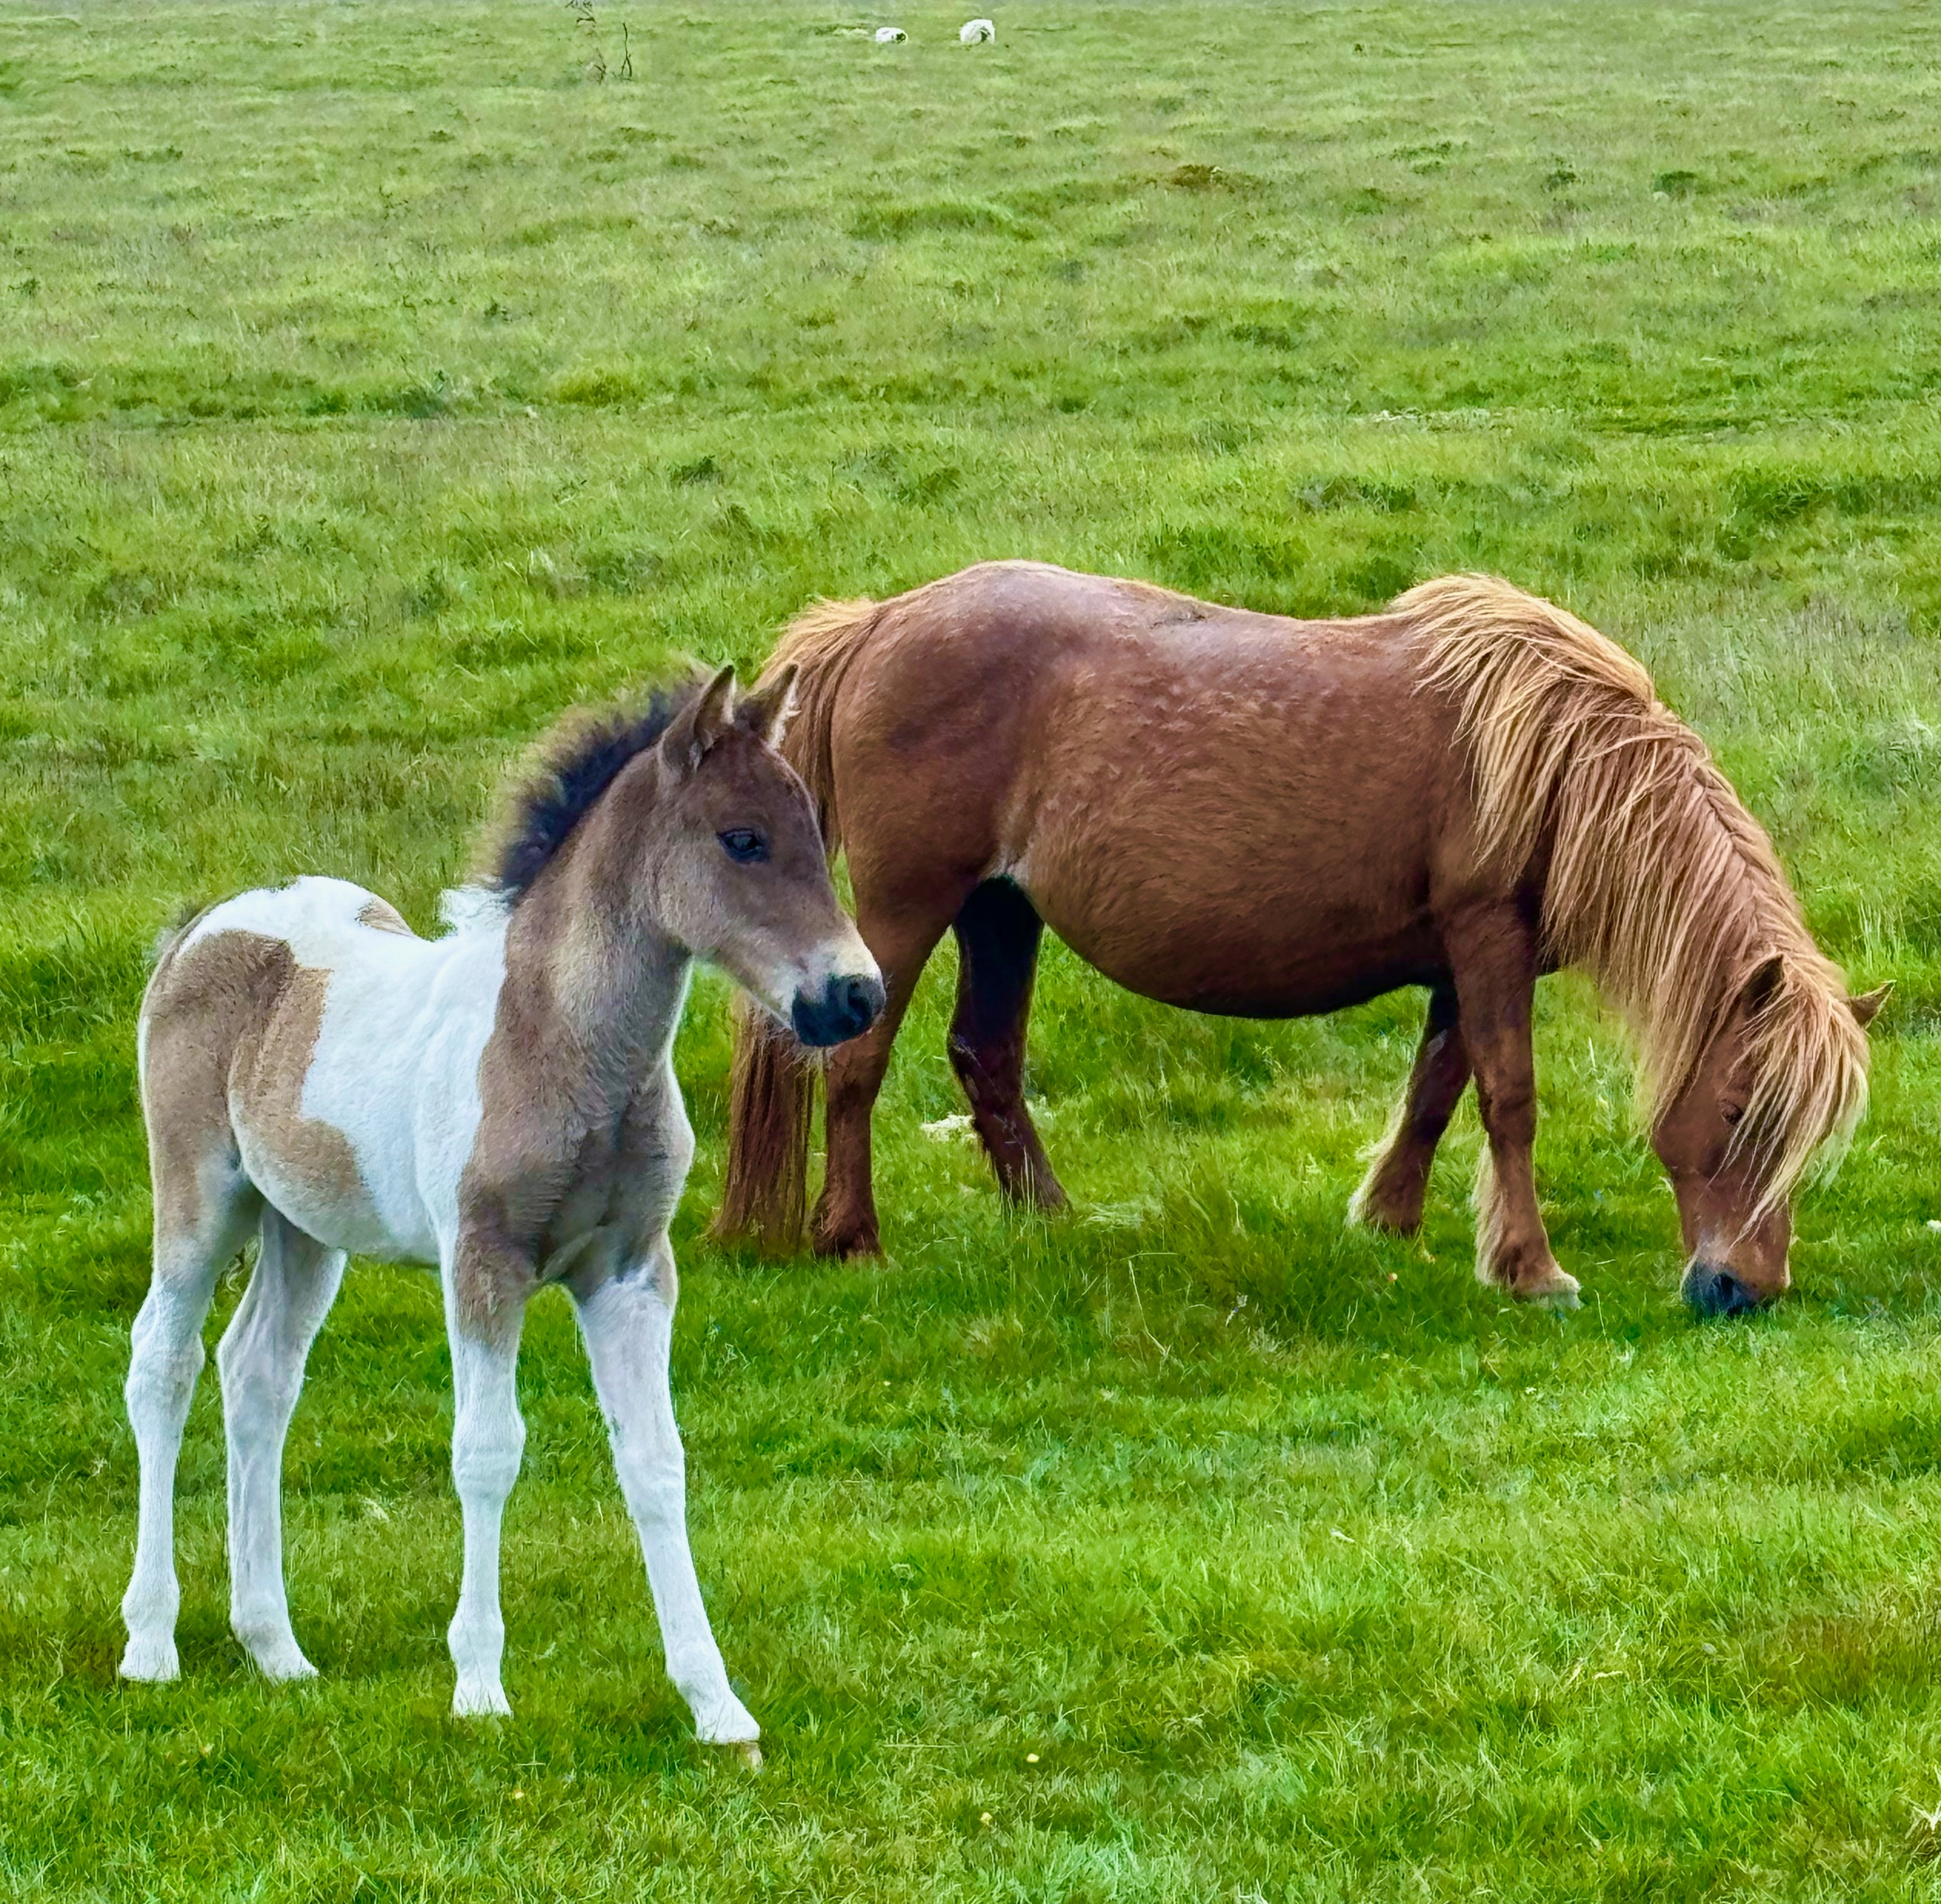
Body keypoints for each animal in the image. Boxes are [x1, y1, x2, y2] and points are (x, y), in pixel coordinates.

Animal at [121, 668, 881, 1754]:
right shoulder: (485, 1261)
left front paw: (715, 1703)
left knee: (257, 1373)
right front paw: (479, 1685)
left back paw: (277, 1648)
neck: (559, 1045)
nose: (854, 996)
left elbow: (656, 1460)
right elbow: (487, 1450)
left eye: (817, 832)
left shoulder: (632, 1271)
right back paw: (151, 1643)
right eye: (742, 839)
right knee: (164, 1361)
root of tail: (201, 927)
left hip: (302, 1225)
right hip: (201, 1194)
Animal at [714, 558, 1879, 1311]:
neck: (1549, 756)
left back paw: (1050, 1219)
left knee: (984, 1056)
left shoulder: (1456, 960)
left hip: (1002, 911)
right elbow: (1507, 1098)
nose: (1744, 1290)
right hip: (909, 905)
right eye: (1740, 1111)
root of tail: (877, 622)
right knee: (857, 1062)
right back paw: (851, 1239)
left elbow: (1436, 1085)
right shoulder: (1487, 938)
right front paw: (1532, 1270)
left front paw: (1392, 1220)